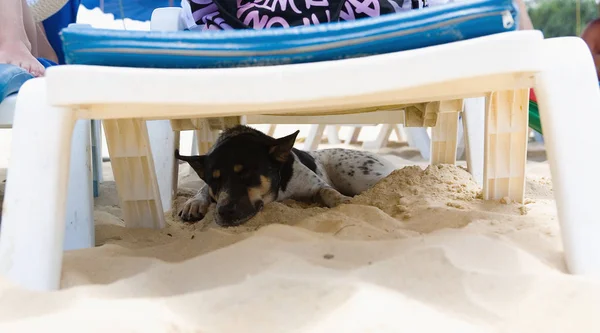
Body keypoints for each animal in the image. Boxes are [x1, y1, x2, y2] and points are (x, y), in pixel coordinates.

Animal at [176, 124, 396, 226]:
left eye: (247, 173)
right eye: (215, 180)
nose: (224, 212)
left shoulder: (316, 185)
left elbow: (328, 191)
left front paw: (341, 200)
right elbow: (202, 189)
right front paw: (194, 203)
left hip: (355, 174)